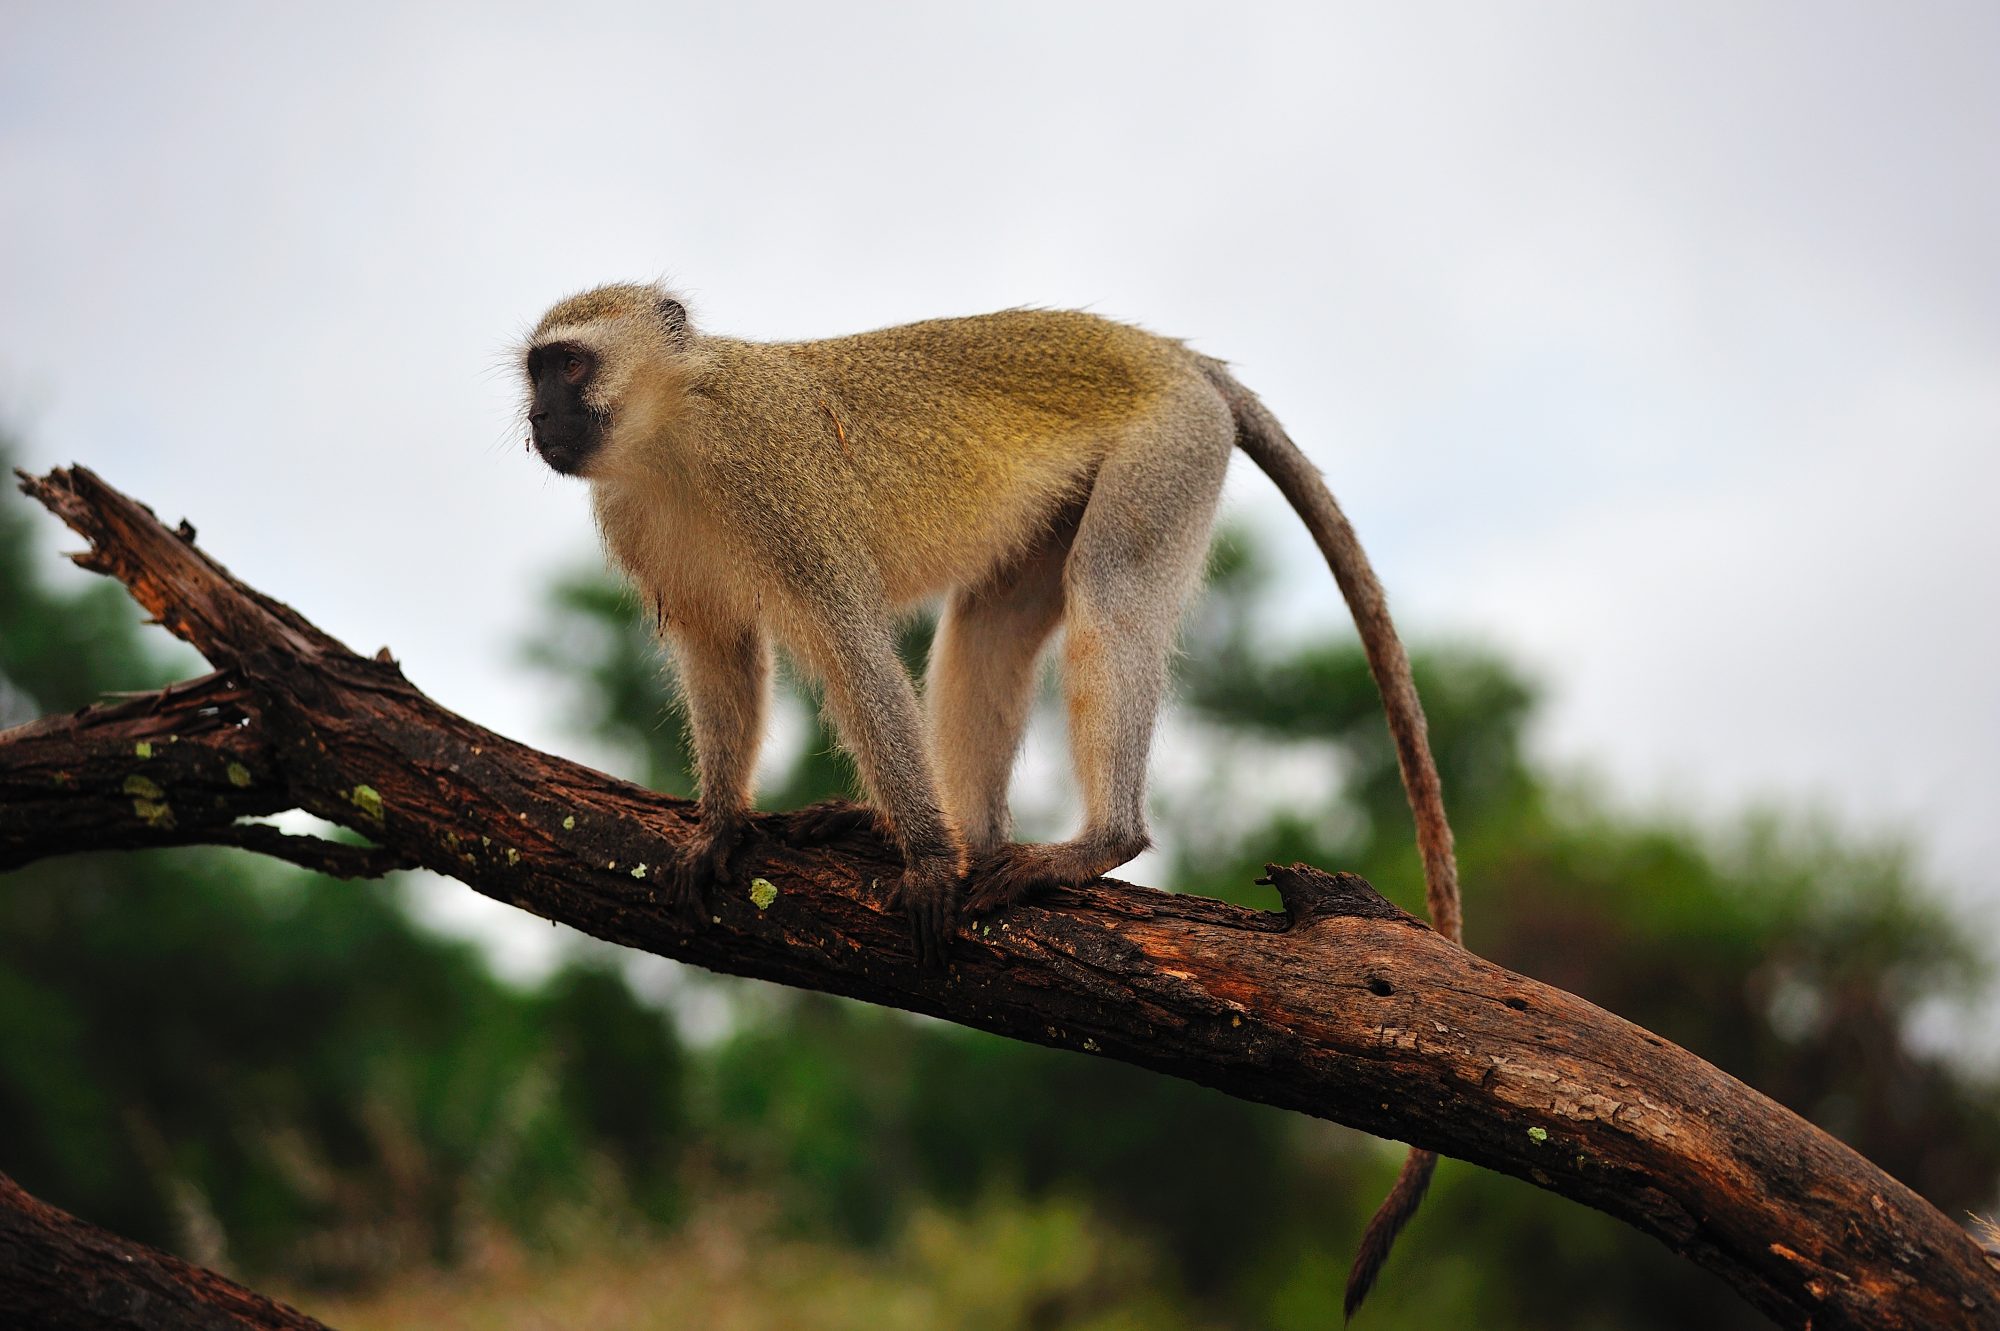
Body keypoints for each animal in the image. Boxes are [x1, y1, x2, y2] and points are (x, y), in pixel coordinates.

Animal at [524, 279, 1472, 1303]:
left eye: (567, 364)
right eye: (536, 372)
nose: (536, 416)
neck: (671, 429)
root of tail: (1170, 353)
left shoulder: (771, 476)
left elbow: (848, 640)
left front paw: (929, 862)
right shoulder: (641, 521)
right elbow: (719, 647)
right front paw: (724, 826)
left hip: (1169, 449)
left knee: (1108, 588)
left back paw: (1087, 841)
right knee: (998, 610)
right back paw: (958, 832)